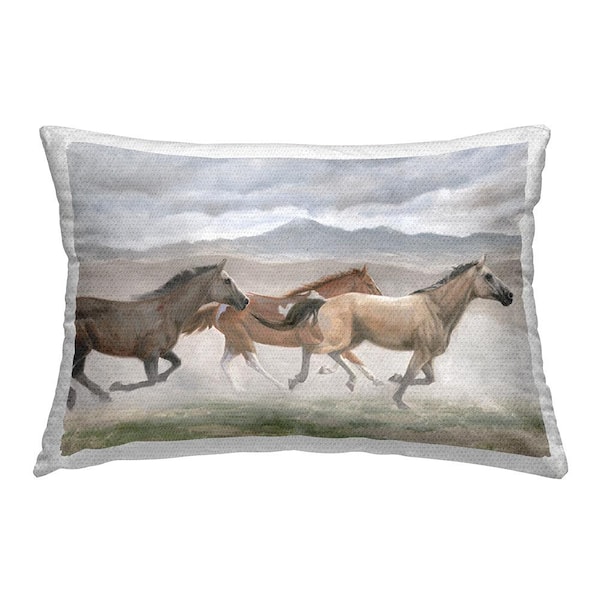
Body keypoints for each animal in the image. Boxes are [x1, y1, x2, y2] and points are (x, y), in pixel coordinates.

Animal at [69, 259, 248, 408]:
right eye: (227, 280)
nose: (245, 301)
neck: (169, 313)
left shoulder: (163, 352)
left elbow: (176, 364)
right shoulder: (150, 355)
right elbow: (152, 380)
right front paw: (117, 385)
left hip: (84, 349)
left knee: (78, 373)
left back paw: (99, 396)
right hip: (81, 348)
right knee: (73, 372)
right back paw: (76, 398)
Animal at [182, 266, 383, 390]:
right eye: (369, 284)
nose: (381, 298)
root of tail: (219, 307)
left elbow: (345, 355)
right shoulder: (317, 341)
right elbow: (348, 356)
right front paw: (375, 379)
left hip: (233, 340)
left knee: (224, 363)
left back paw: (238, 390)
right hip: (241, 338)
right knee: (252, 362)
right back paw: (279, 386)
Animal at [254, 256, 513, 409]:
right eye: (489, 276)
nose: (509, 296)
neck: (435, 309)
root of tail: (326, 302)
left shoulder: (428, 356)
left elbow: (428, 379)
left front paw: (392, 379)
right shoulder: (421, 353)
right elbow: (410, 375)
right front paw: (399, 401)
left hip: (352, 340)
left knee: (335, 354)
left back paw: (348, 382)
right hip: (339, 339)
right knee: (311, 349)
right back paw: (295, 380)